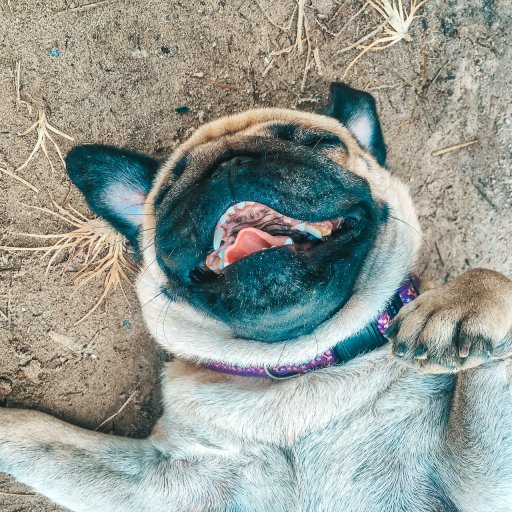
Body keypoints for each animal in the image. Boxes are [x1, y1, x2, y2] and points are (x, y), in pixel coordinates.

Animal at [1, 82, 512, 510]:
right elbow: (39, 437)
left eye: (316, 143)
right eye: (167, 194)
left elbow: (492, 275)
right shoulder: (156, 482)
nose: (230, 162)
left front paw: (461, 301)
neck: (298, 369)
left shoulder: (480, 484)